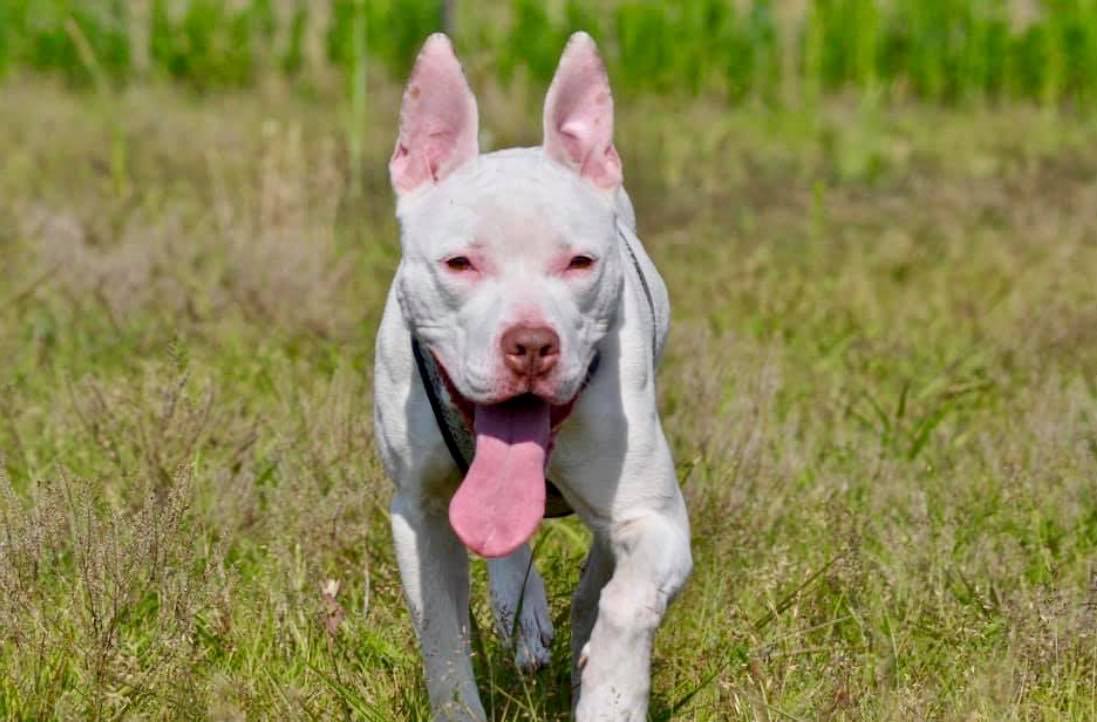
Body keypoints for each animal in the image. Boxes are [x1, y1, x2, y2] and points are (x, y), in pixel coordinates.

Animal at [372, 30, 688, 715]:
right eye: (459, 263)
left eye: (580, 262)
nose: (531, 343)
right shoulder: (420, 513)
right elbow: (442, 638)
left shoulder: (656, 519)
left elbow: (626, 601)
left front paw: (610, 695)